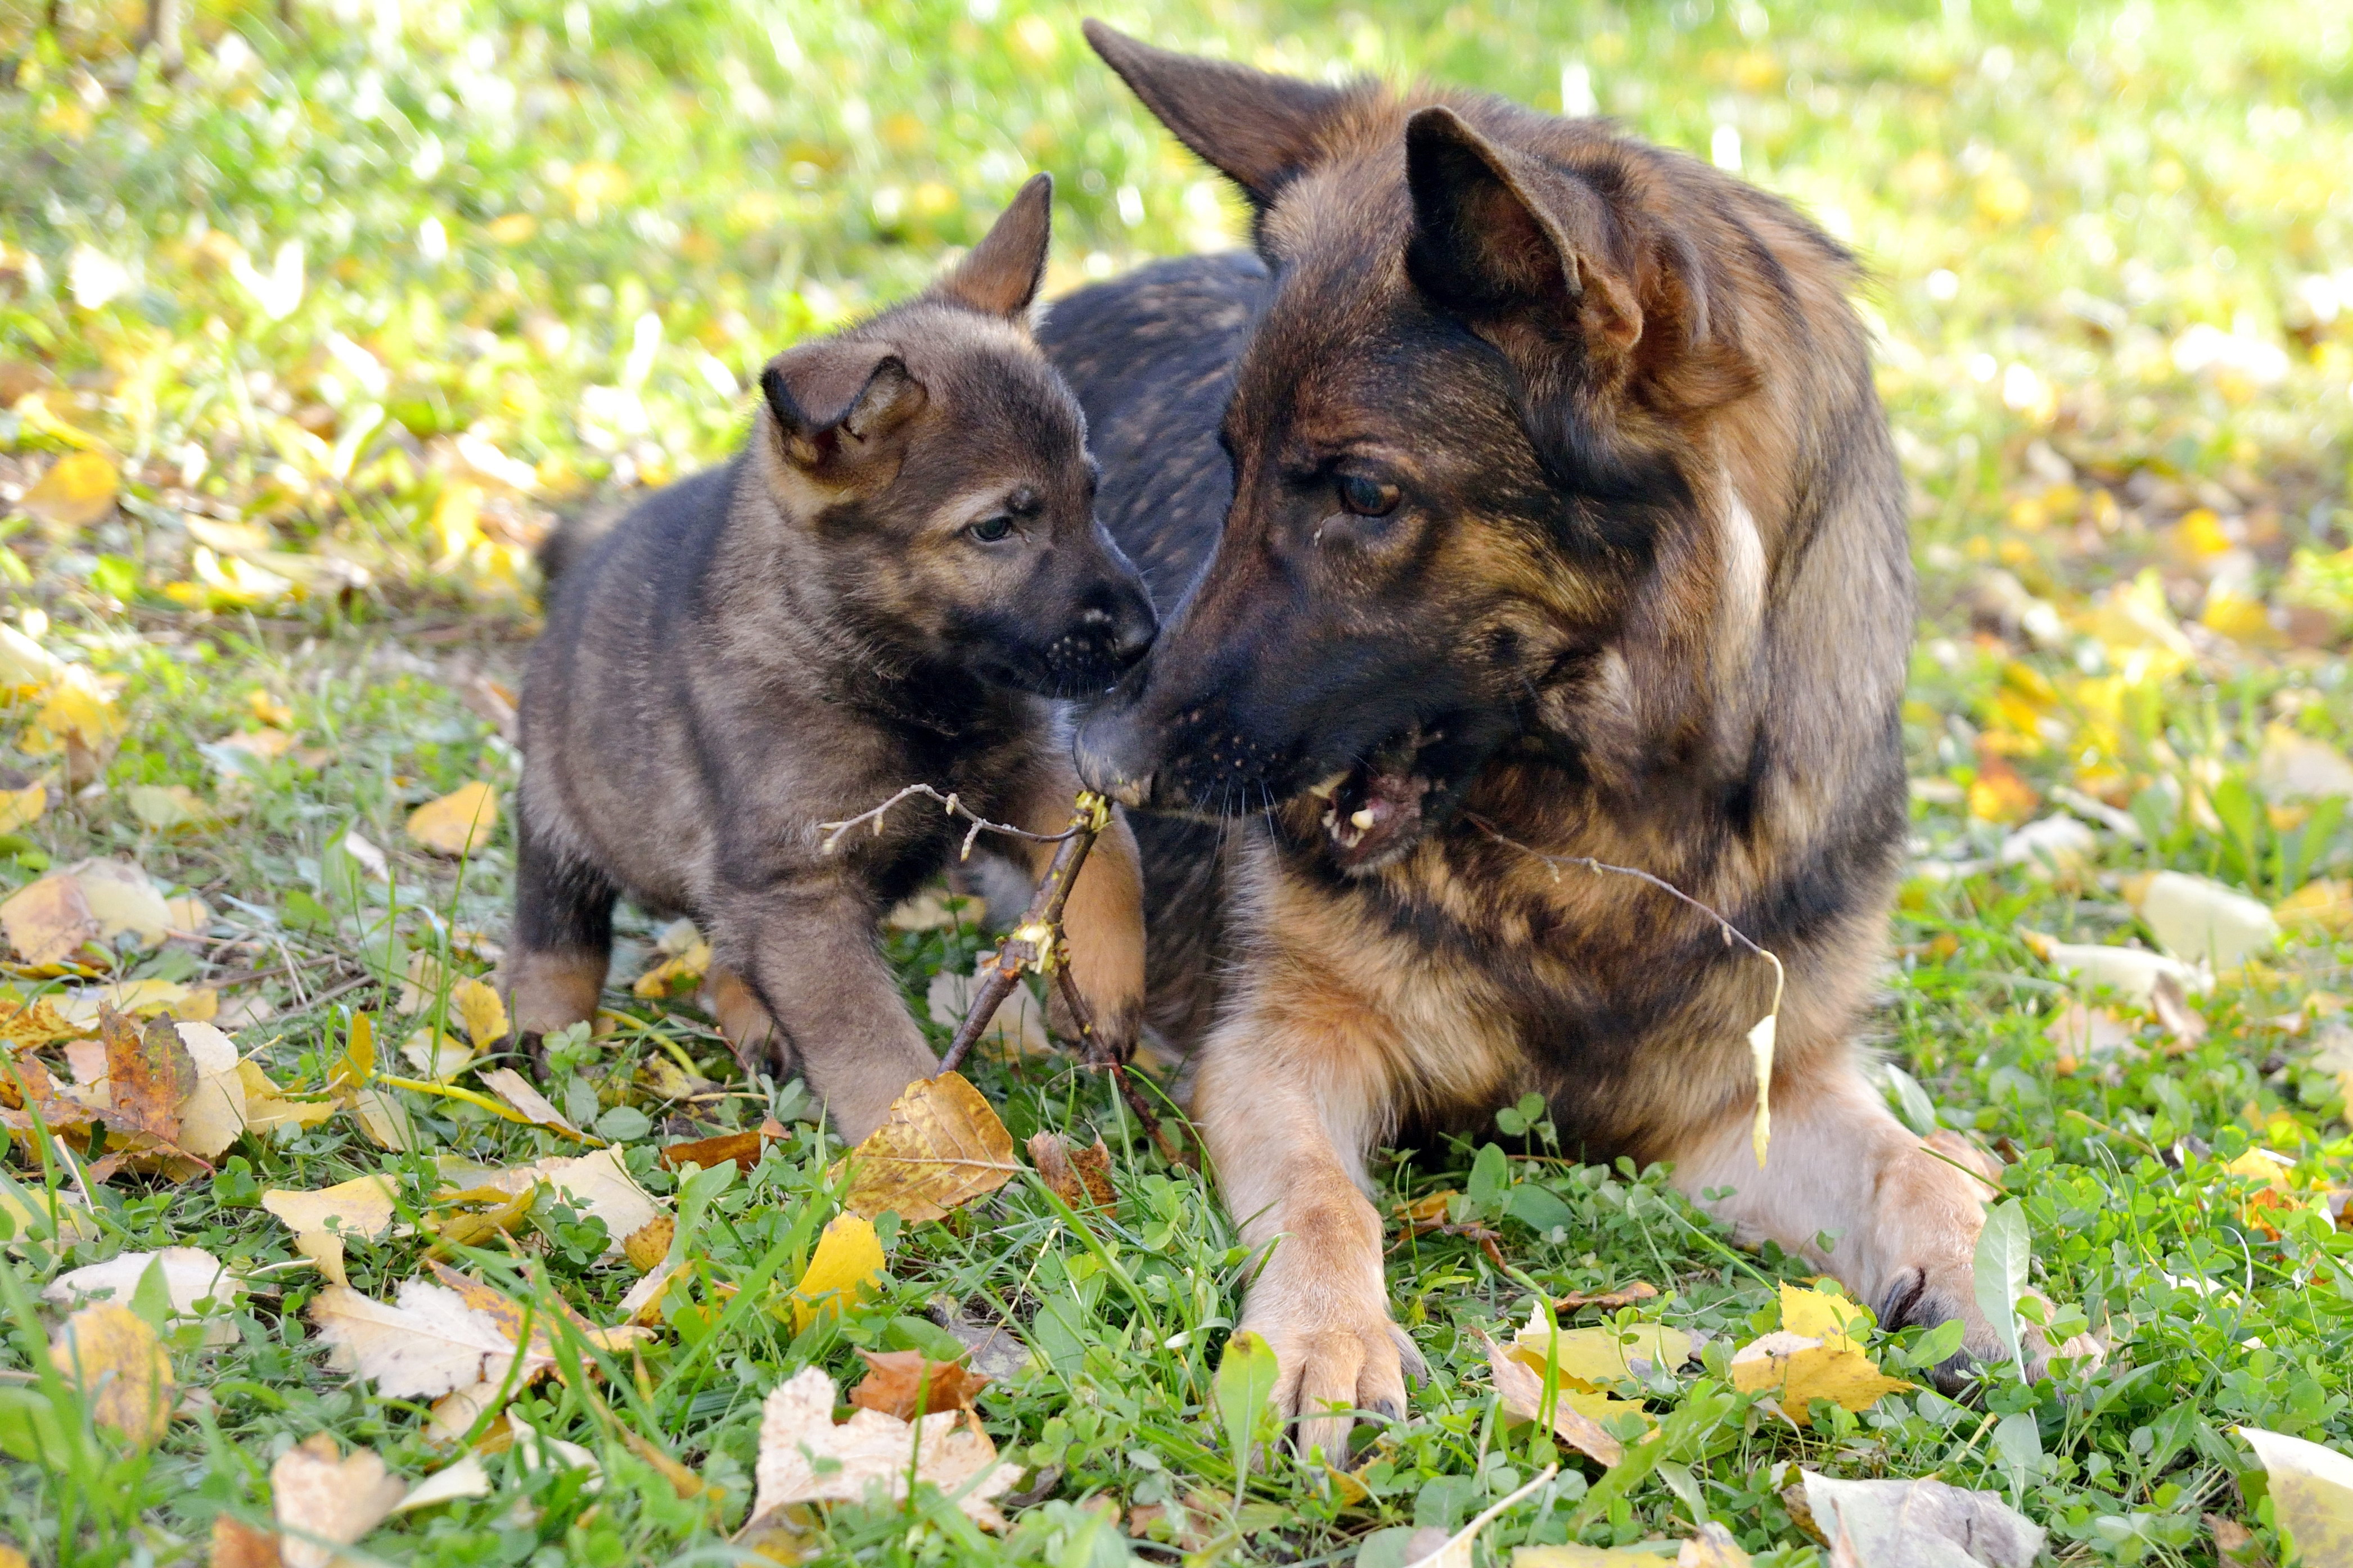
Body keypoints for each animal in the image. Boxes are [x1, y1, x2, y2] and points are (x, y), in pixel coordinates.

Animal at [515, 180, 1157, 1142]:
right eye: (996, 528)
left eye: (1093, 493)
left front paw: (1113, 983)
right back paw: (539, 1031)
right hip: (561, 817)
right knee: (555, 929)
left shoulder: (1022, 774)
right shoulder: (800, 892)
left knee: (727, 957)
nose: (1144, 637)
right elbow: (873, 1051)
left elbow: (1115, 852)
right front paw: (932, 1150)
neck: (898, 679)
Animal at [1054, 24, 2080, 1457]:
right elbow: (1320, 1192)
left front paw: (1989, 1282)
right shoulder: (1274, 1050)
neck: (1596, 836)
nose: (1101, 758)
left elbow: (1921, 1168)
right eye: (1230, 464)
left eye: (1361, 491)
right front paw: (1322, 1336)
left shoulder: (1744, 1100)